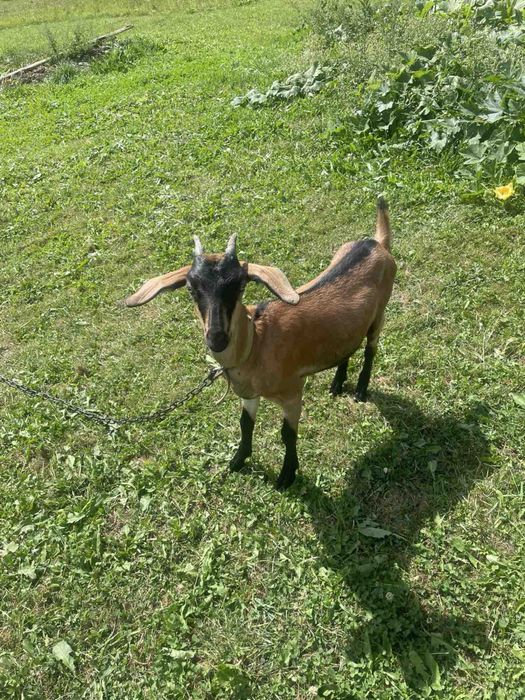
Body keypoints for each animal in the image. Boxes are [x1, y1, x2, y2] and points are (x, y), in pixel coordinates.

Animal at [126, 197, 396, 489]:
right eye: (190, 288)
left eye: (240, 285)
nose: (217, 337)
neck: (256, 345)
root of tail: (376, 243)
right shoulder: (249, 394)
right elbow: (246, 424)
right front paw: (238, 460)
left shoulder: (293, 392)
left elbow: (287, 434)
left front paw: (287, 475)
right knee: (349, 347)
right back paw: (336, 384)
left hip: (380, 313)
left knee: (370, 349)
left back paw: (360, 390)